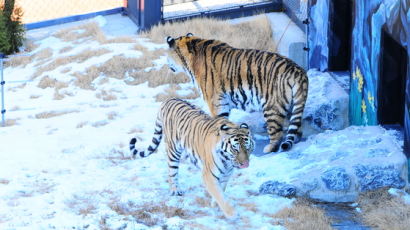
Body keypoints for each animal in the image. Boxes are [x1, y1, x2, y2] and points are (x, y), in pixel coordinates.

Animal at [166, 32, 308, 155]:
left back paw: (269, 148)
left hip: (271, 107)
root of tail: (298, 71)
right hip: (292, 105)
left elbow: (219, 124)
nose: (167, 63)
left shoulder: (216, 104)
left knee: (277, 133)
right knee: (296, 127)